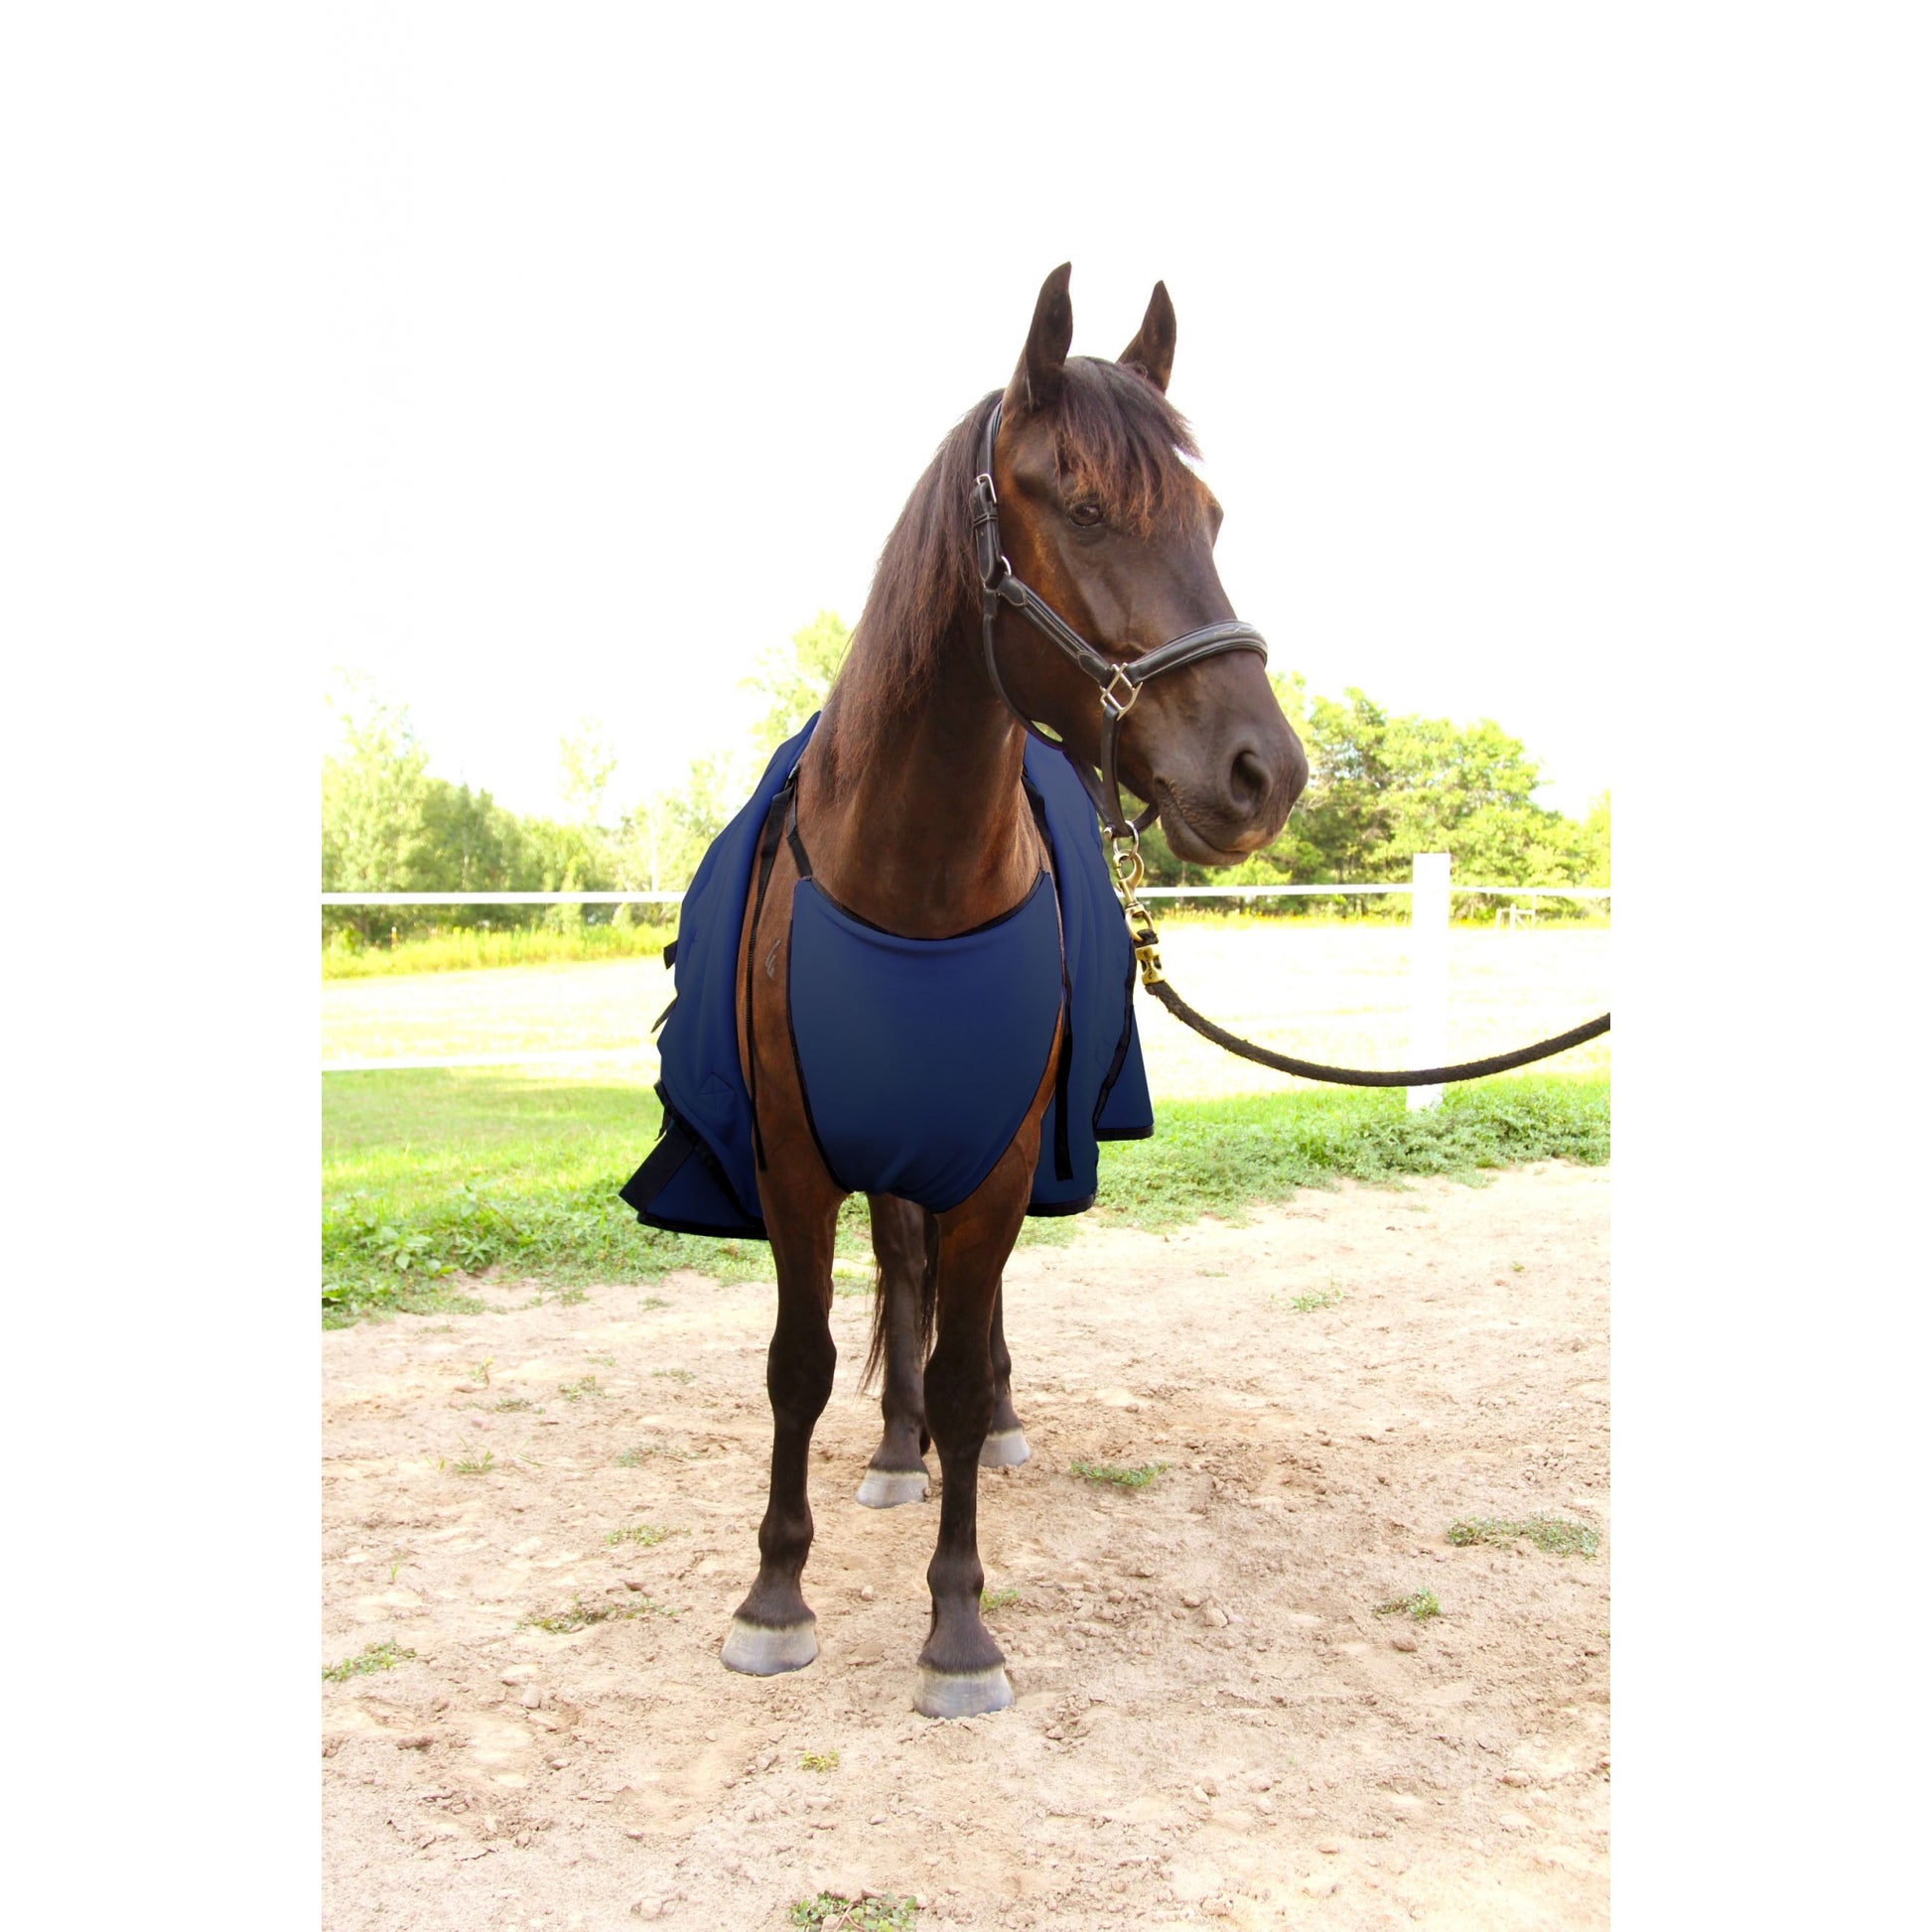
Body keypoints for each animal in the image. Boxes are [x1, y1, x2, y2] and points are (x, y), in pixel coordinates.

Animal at [723, 264, 1307, 1717]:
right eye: (1085, 505)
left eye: (1211, 515)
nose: (1263, 772)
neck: (908, 879)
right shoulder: (795, 1159)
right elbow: (801, 1362)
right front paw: (774, 1595)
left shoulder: (991, 1160)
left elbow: (957, 1344)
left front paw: (958, 1624)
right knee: (902, 1281)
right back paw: (896, 1452)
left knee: (966, 1323)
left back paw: (982, 1428)